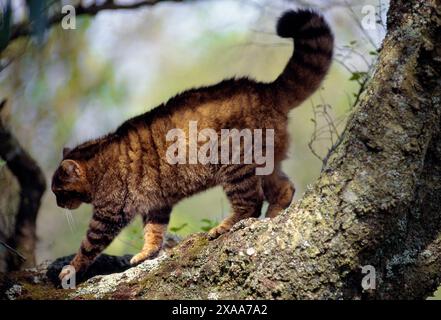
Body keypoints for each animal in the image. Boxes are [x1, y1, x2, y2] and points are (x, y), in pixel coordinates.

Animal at [51, 9, 332, 280]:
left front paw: (71, 269)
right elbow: (153, 232)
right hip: (266, 164)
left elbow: (88, 246)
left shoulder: (108, 214)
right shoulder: (156, 204)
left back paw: (225, 226)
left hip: (235, 166)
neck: (98, 161)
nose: (57, 204)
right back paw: (272, 217)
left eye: (58, 191)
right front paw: (146, 253)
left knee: (251, 203)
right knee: (284, 189)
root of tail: (266, 89)